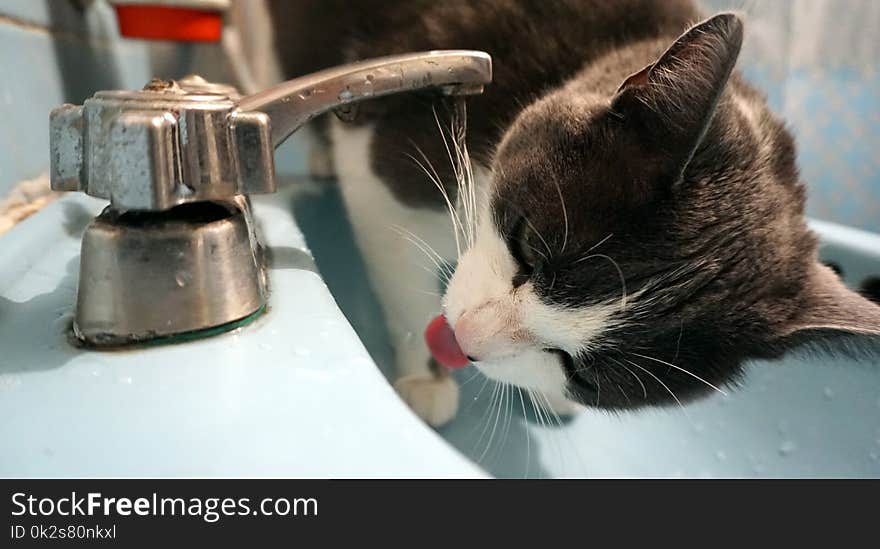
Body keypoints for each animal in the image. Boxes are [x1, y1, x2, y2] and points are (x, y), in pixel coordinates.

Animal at [268, 0, 880, 426]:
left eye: (581, 371)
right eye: (526, 246)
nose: (464, 339)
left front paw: (541, 392)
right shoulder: (397, 151)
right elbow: (395, 250)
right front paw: (426, 378)